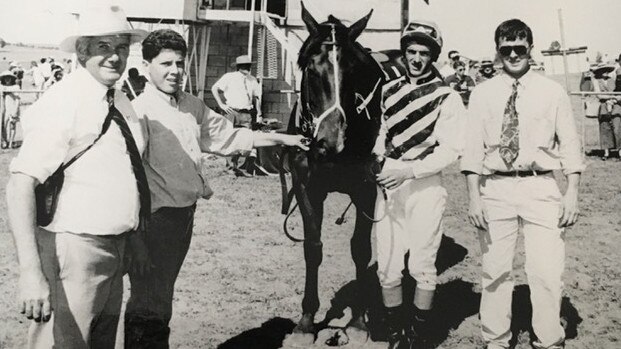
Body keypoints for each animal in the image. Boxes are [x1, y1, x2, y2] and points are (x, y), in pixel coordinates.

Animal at [278, 3, 386, 346]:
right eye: (312, 71)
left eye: (353, 72)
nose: (332, 141)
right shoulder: (307, 187)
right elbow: (313, 247)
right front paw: (306, 322)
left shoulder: (367, 188)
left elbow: (360, 249)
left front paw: (359, 322)